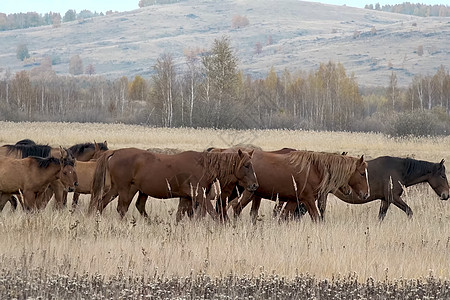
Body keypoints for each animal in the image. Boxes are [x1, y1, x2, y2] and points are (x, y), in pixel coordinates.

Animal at [88, 147, 258, 218]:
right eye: (246, 165)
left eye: (251, 164)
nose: (255, 185)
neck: (203, 165)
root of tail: (114, 152)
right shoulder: (199, 195)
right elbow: (214, 214)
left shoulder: (186, 197)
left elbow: (179, 216)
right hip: (126, 189)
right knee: (121, 209)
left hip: (117, 189)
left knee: (101, 203)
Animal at [229, 150, 370, 223]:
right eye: (362, 173)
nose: (366, 194)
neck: (315, 169)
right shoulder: (308, 200)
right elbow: (316, 218)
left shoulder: (293, 200)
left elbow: (283, 218)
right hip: (249, 193)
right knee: (236, 209)